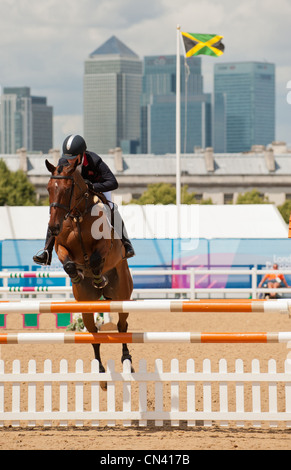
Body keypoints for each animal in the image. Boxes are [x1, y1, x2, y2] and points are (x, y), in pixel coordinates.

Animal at [45, 158, 134, 386]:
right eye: (49, 188)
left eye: (68, 189)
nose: (54, 226)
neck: (77, 217)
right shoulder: (60, 247)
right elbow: (68, 263)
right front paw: (77, 275)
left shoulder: (106, 246)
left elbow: (95, 259)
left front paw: (98, 277)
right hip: (85, 305)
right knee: (93, 334)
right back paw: (100, 373)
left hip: (122, 296)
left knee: (122, 326)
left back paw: (127, 360)